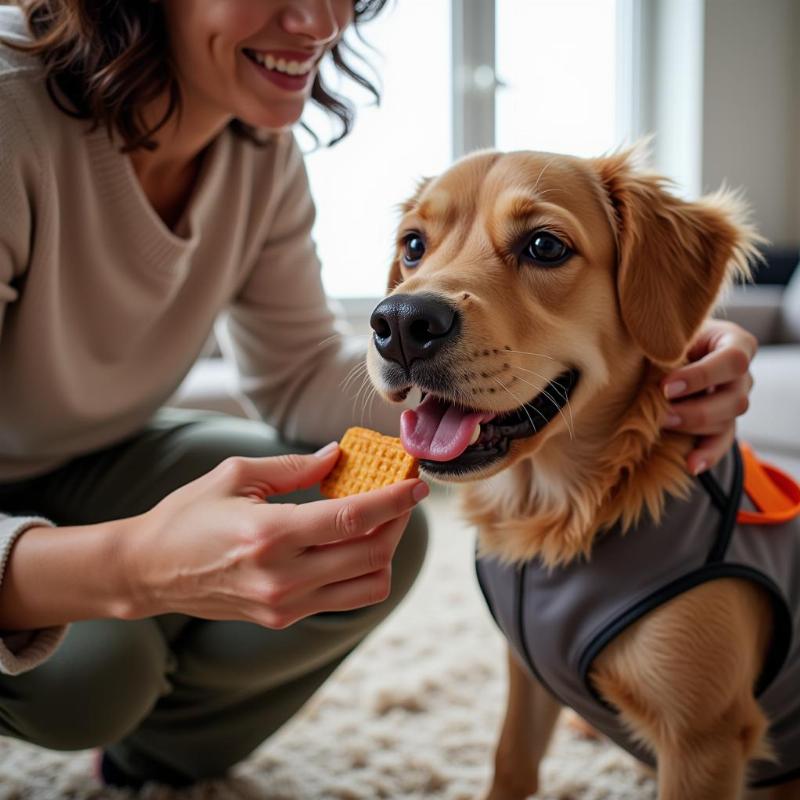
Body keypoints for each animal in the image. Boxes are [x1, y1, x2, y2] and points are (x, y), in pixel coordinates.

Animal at [364, 150, 800, 800]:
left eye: (545, 246)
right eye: (413, 244)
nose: (398, 323)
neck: (551, 514)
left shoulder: (704, 740)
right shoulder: (526, 672)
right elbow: (511, 762)